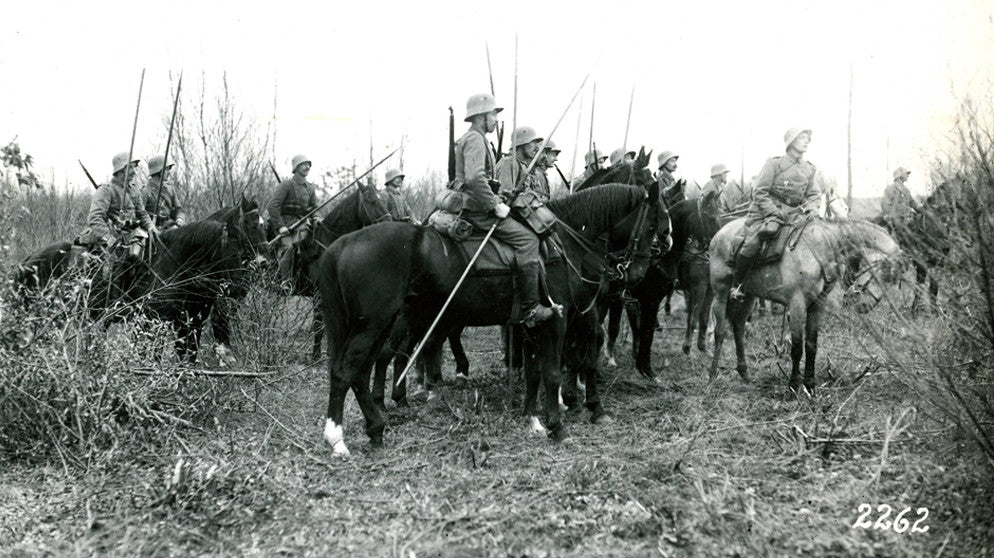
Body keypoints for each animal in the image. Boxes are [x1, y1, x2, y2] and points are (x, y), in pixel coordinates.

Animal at [314, 183, 664, 456]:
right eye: (652, 227)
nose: (637, 273)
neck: (561, 244)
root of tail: (340, 245)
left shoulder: (530, 324)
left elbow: (534, 373)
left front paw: (533, 421)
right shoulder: (558, 321)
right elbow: (552, 373)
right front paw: (558, 427)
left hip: (379, 325)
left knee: (362, 372)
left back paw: (376, 430)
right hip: (374, 325)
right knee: (346, 372)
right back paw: (337, 439)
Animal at [704, 217, 900, 396]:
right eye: (886, 272)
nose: (865, 306)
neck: (820, 248)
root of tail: (720, 233)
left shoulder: (818, 304)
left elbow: (811, 345)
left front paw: (810, 386)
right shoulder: (797, 304)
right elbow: (797, 348)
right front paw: (793, 386)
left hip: (749, 296)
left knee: (738, 327)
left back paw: (744, 373)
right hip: (721, 291)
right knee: (720, 331)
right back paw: (712, 375)